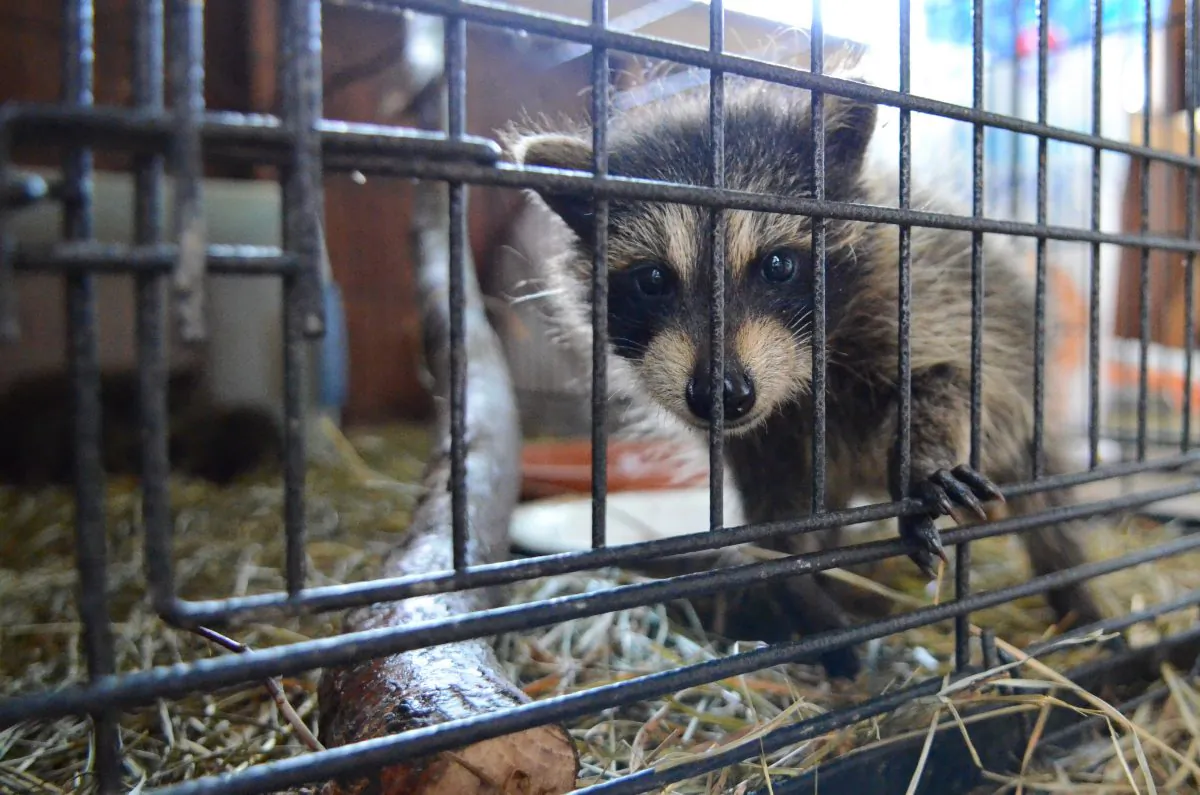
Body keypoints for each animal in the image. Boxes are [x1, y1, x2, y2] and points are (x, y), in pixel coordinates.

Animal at [503, 74, 1105, 679]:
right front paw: (810, 607)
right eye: (652, 280)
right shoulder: (758, 445)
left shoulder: (932, 298)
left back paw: (1077, 598)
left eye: (777, 265)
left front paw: (925, 460)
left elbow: (954, 381)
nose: (722, 395)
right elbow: (779, 535)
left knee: (1048, 509)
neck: (799, 385)